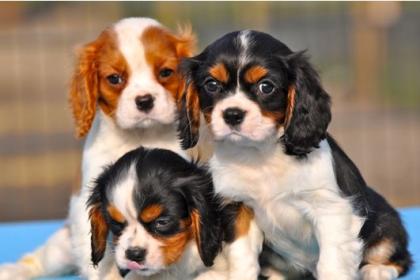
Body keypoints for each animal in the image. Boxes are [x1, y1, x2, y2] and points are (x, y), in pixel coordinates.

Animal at [0, 17, 195, 280]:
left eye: (166, 73)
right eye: (114, 79)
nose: (144, 100)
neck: (138, 136)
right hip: (61, 245)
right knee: (39, 259)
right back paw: (14, 270)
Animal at [179, 29, 412, 278]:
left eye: (266, 87)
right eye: (211, 85)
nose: (232, 114)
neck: (261, 155)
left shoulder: (331, 210)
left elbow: (332, 262)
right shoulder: (238, 208)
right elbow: (242, 257)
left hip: (386, 223)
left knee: (398, 257)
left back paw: (377, 270)